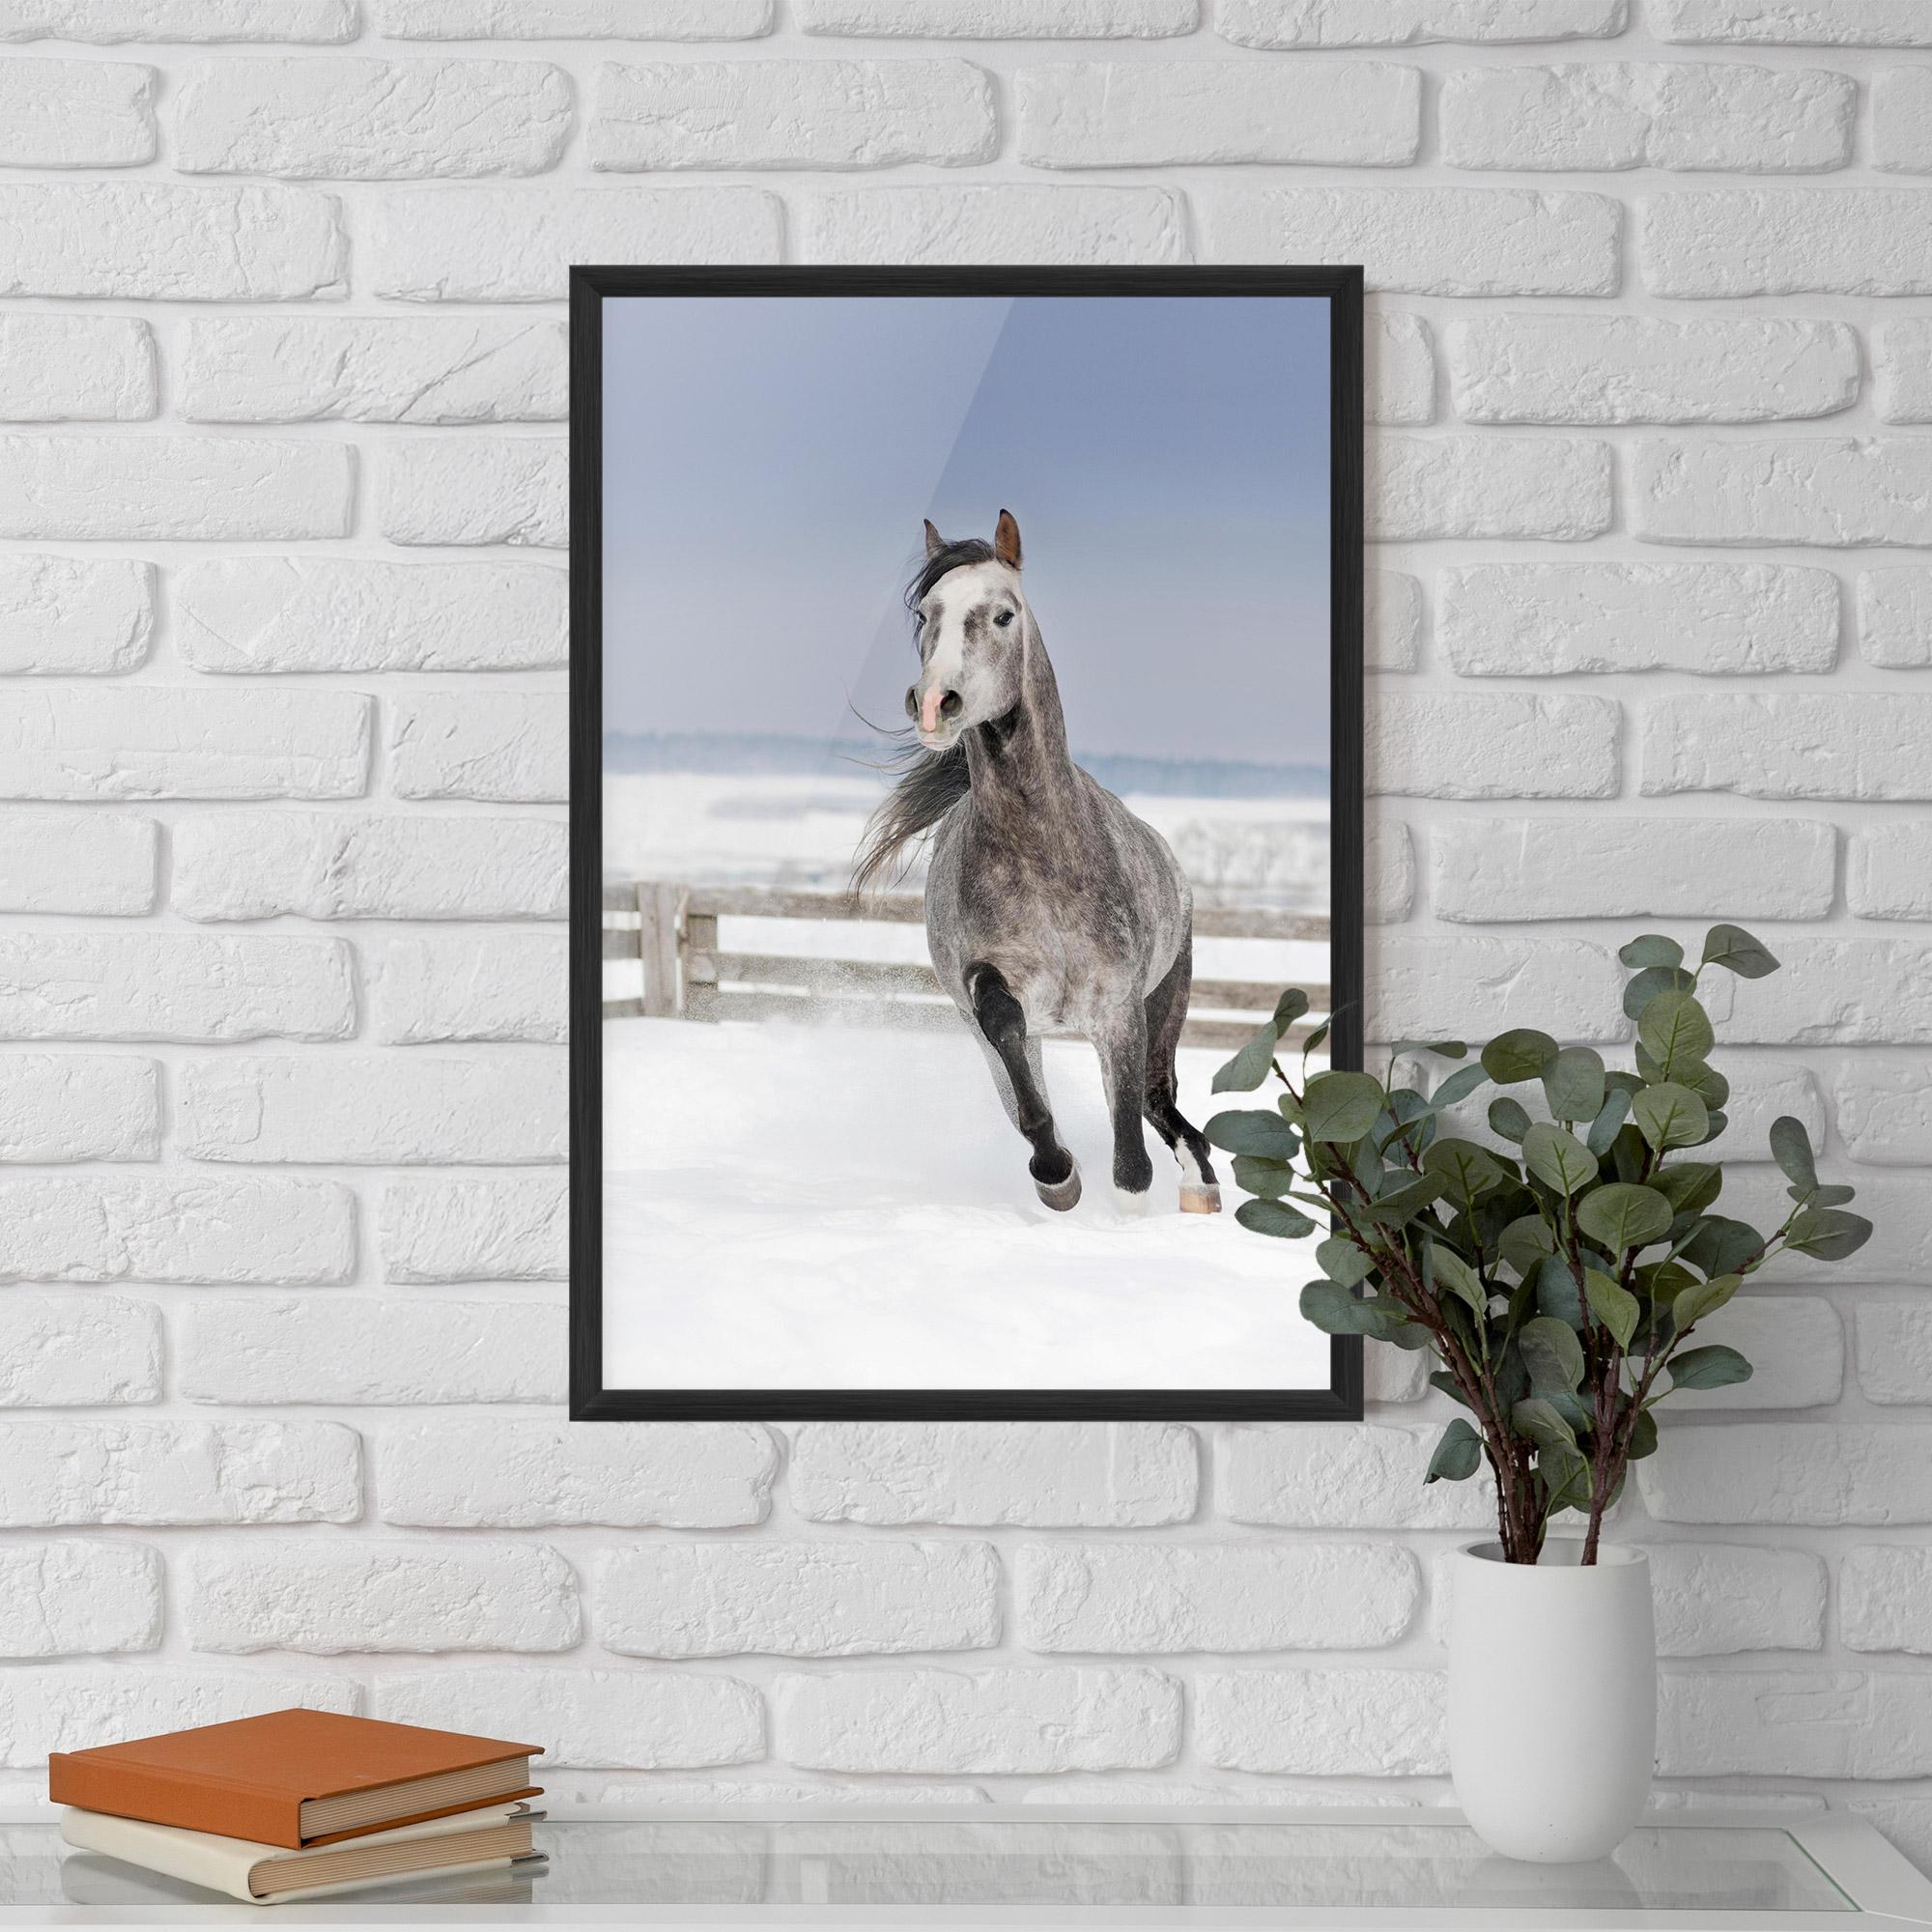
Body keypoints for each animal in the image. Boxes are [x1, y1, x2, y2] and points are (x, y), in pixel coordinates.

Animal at [853, 510, 1221, 1219]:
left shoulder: (1120, 1010)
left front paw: (1126, 1205)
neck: (1043, 857)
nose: (934, 703)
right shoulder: (994, 999)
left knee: (1160, 1100)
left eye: (1003, 615)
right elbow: (1016, 1061)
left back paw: (1200, 1187)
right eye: (925, 613)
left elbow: (1130, 1156)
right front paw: (1057, 1174)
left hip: (1166, 1001)